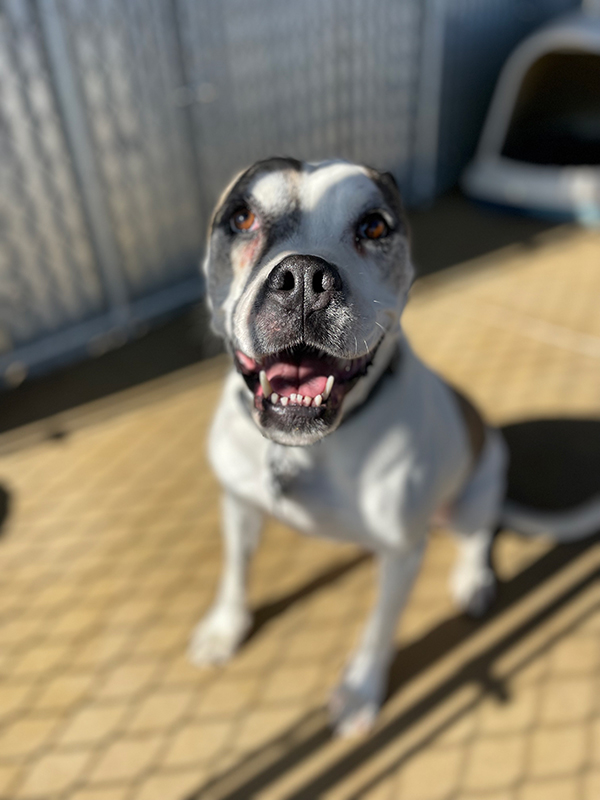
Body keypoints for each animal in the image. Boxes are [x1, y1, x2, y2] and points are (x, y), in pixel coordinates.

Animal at [190, 158, 600, 736]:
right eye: (242, 217)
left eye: (374, 226)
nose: (303, 280)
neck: (310, 448)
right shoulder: (239, 503)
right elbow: (235, 571)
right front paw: (225, 628)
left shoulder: (403, 555)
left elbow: (380, 628)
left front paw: (361, 690)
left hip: (477, 487)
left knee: (479, 534)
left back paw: (473, 579)